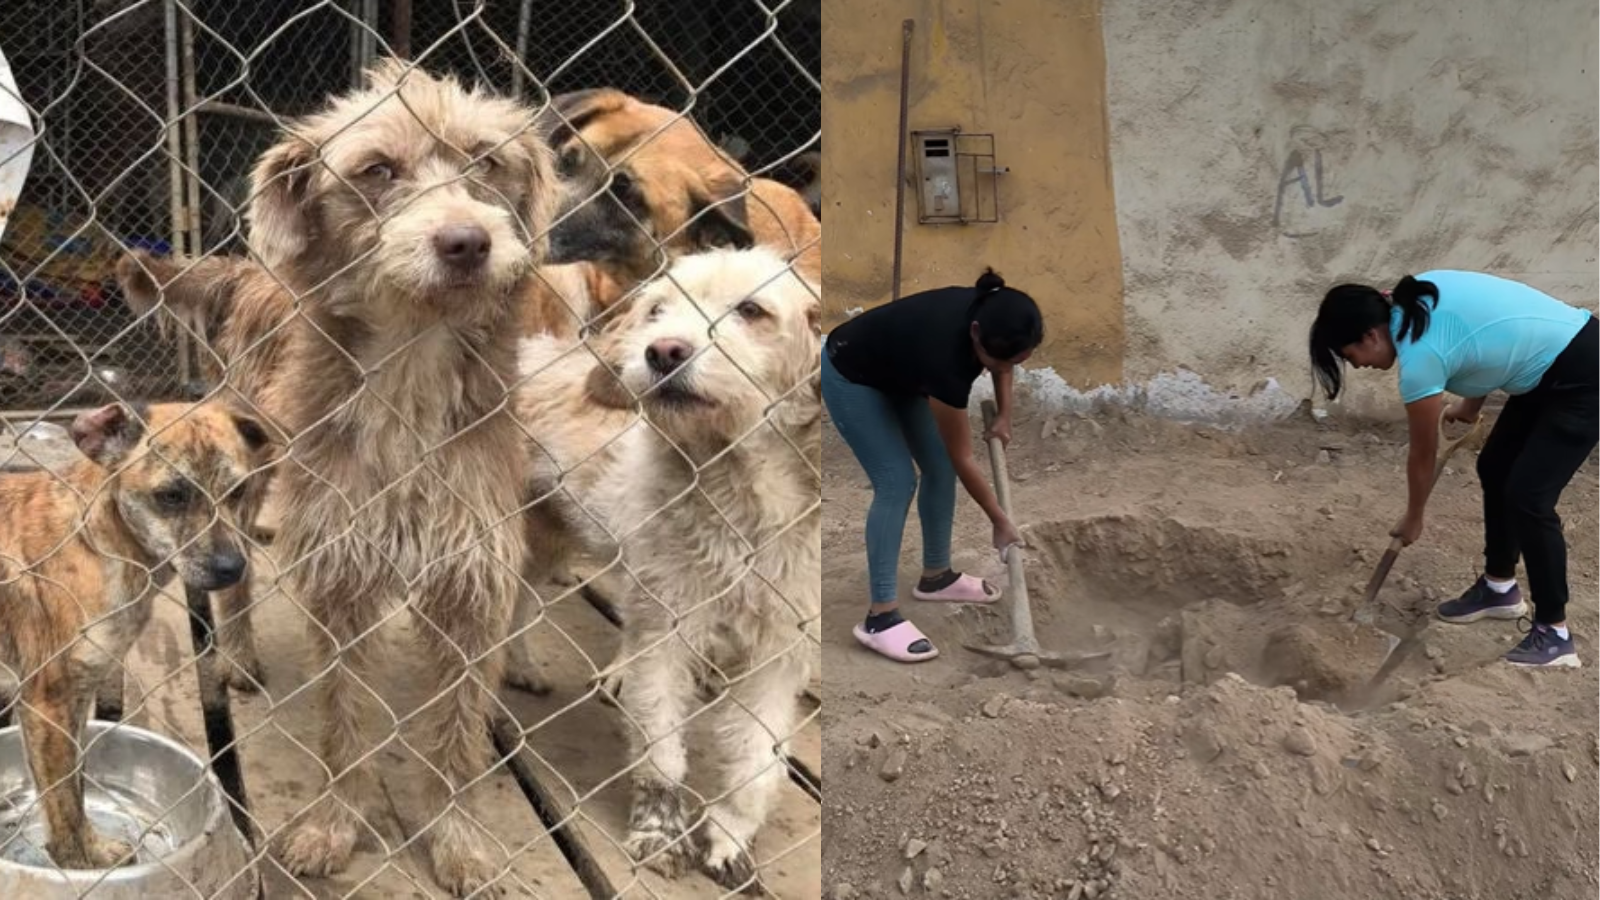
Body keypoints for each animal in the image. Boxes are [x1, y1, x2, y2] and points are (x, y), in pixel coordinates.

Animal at [0, 397, 270, 864]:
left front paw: (91, 846)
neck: (96, 541)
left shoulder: (76, 698)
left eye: (237, 491)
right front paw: (80, 863)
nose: (232, 568)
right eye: (171, 497)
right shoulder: (46, 704)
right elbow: (64, 805)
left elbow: (78, 784)